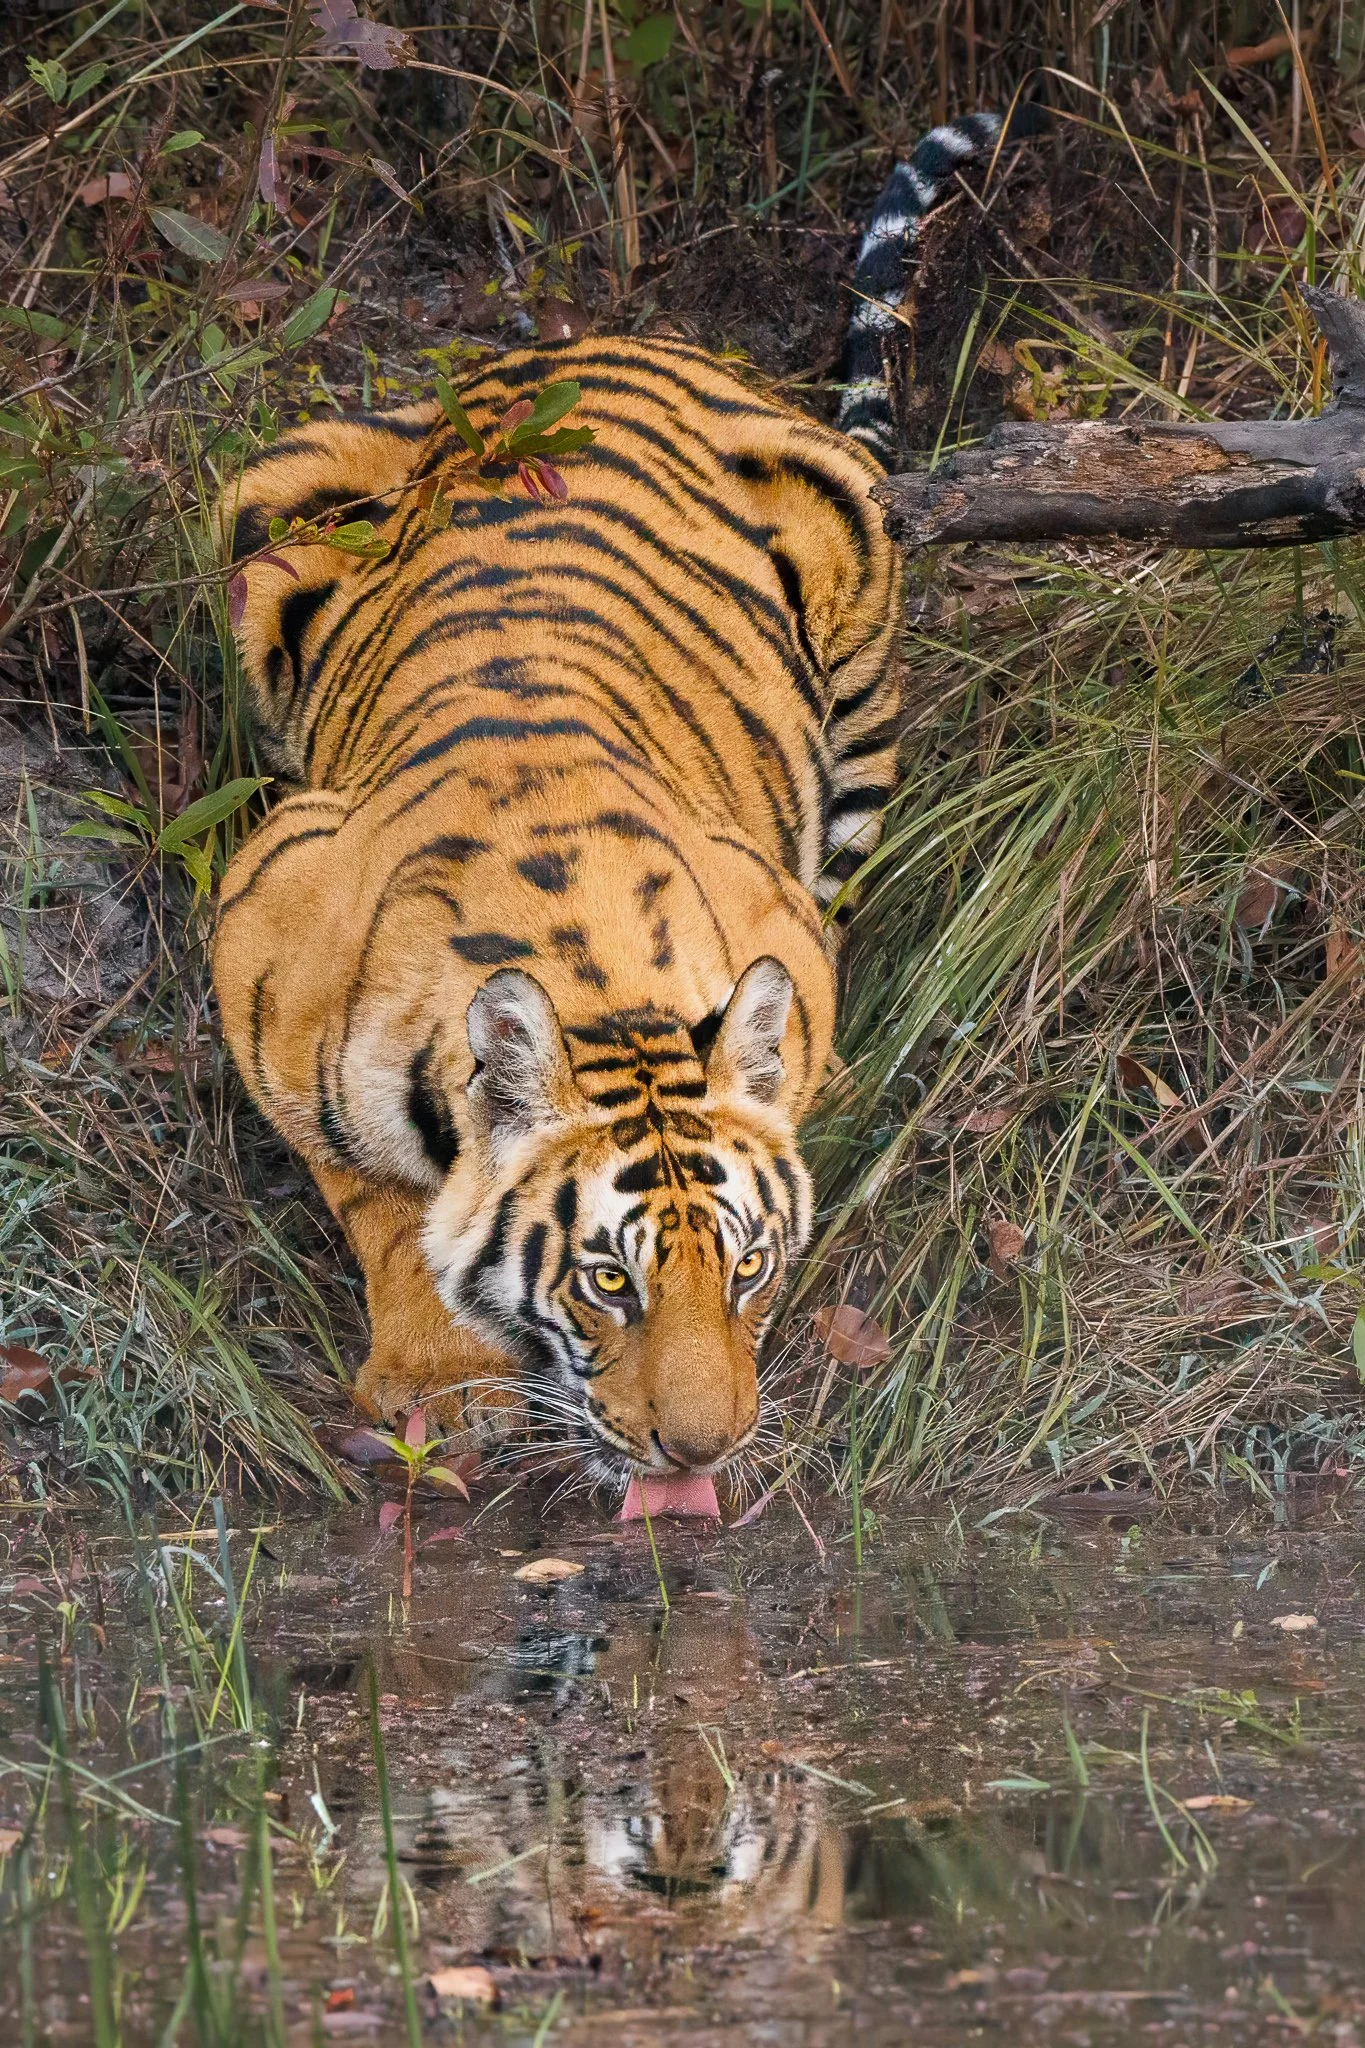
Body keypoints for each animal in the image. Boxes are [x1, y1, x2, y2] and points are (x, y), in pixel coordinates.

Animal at [213, 110, 1039, 1483]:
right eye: (609, 1282)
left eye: (749, 1269)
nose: (704, 1451)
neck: (590, 967)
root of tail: (631, 340)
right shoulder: (259, 918)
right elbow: (375, 1192)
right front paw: (438, 1377)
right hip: (274, 499)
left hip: (859, 624)